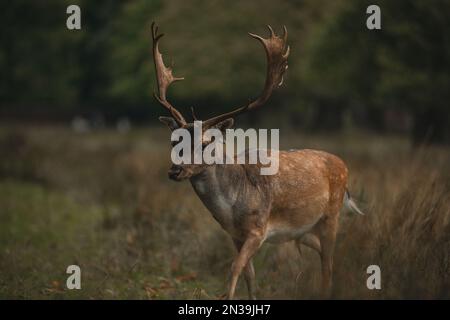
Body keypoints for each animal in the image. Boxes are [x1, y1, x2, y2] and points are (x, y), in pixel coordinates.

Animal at [149, 22, 364, 300]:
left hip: (331, 216)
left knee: (328, 263)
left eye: (206, 144)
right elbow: (248, 273)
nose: (175, 171)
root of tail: (343, 165)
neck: (231, 209)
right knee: (324, 257)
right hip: (304, 230)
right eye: (174, 140)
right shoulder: (234, 234)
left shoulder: (258, 229)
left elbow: (234, 267)